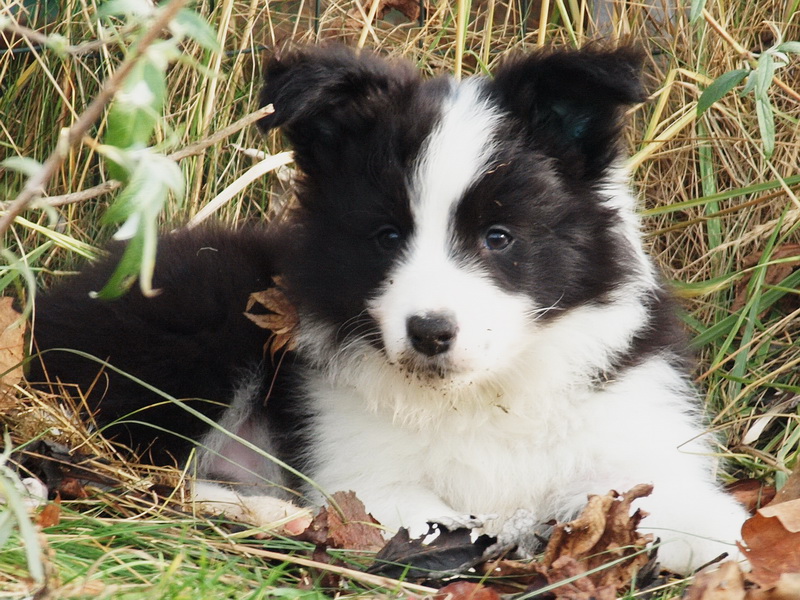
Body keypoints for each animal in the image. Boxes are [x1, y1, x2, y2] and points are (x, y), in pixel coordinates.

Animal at [29, 45, 744, 572]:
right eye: (387, 236)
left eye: (499, 237)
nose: (430, 332)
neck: (482, 398)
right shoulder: (366, 476)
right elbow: (444, 525)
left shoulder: (637, 446)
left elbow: (717, 521)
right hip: (196, 320)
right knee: (126, 468)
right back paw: (264, 512)